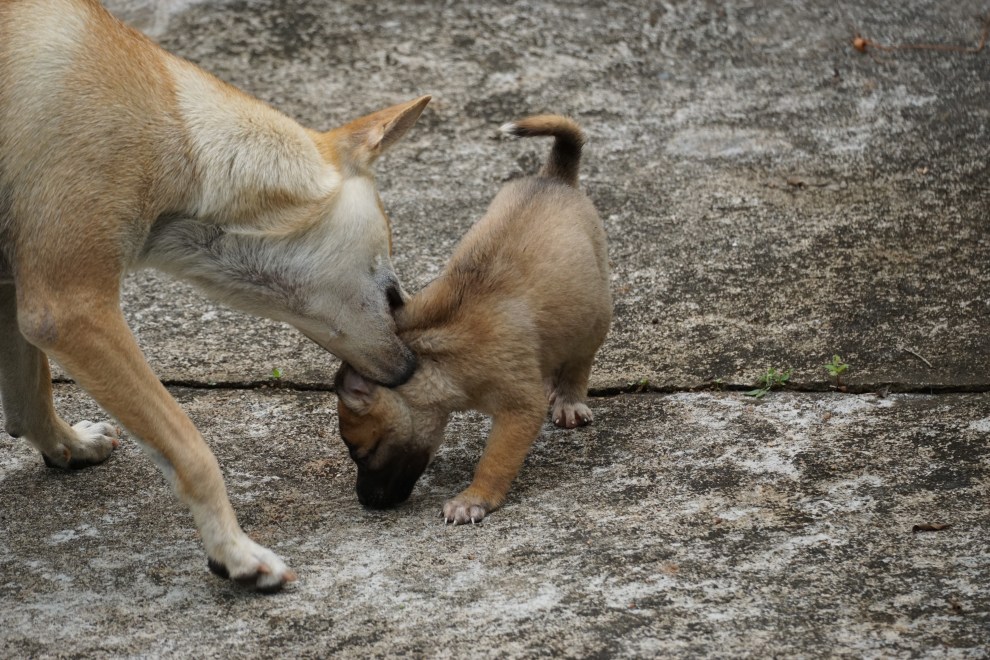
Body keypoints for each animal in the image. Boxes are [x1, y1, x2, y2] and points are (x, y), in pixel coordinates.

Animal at [0, 0, 429, 591]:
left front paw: (67, 443)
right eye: (392, 294)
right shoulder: (69, 310)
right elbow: (191, 448)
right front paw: (234, 551)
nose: (412, 367)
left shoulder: (17, 288)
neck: (179, 128)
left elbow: (28, 396)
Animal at [335, 115, 611, 524]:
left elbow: (495, 460)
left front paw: (474, 498)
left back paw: (569, 399)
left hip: (595, 312)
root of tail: (555, 177)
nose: (366, 501)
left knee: (580, 360)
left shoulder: (518, 409)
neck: (433, 356)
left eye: (360, 452)